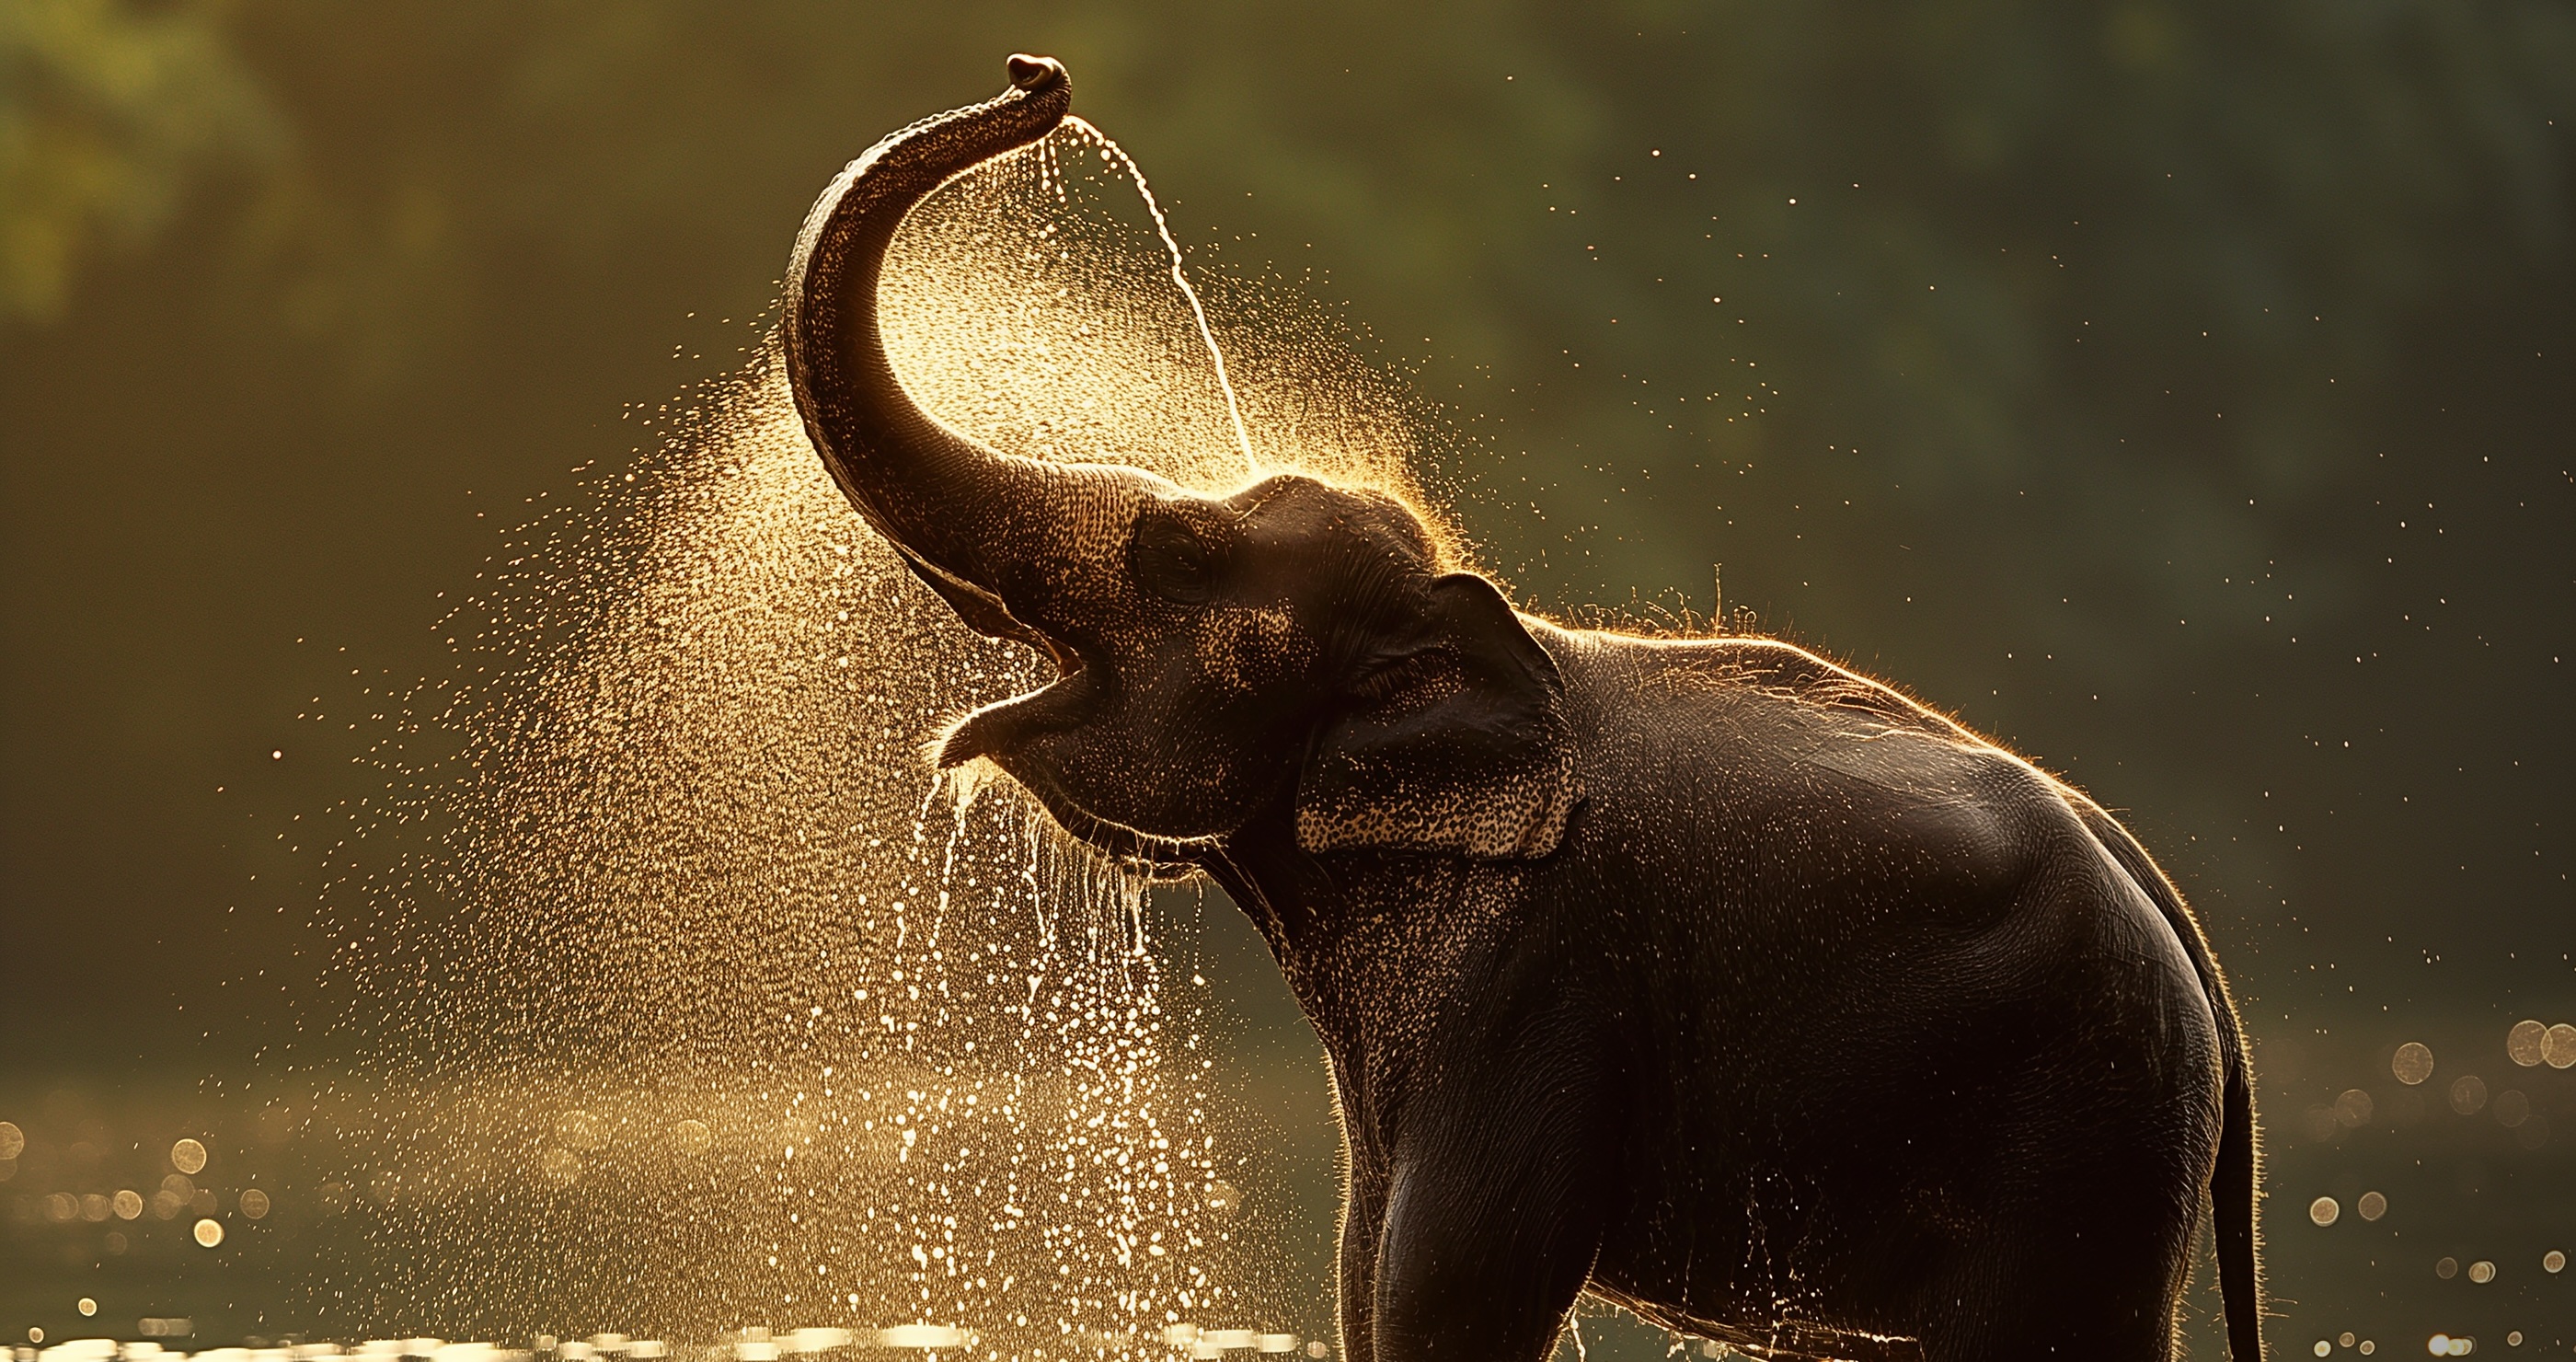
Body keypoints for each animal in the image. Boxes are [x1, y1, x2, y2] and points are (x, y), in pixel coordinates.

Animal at [781, 55, 2262, 1362]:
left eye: (1184, 556)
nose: (1037, 75)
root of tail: (2198, 963)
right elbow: (1362, 1276)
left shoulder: (1537, 974)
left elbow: (1448, 1289)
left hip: (2083, 1131)